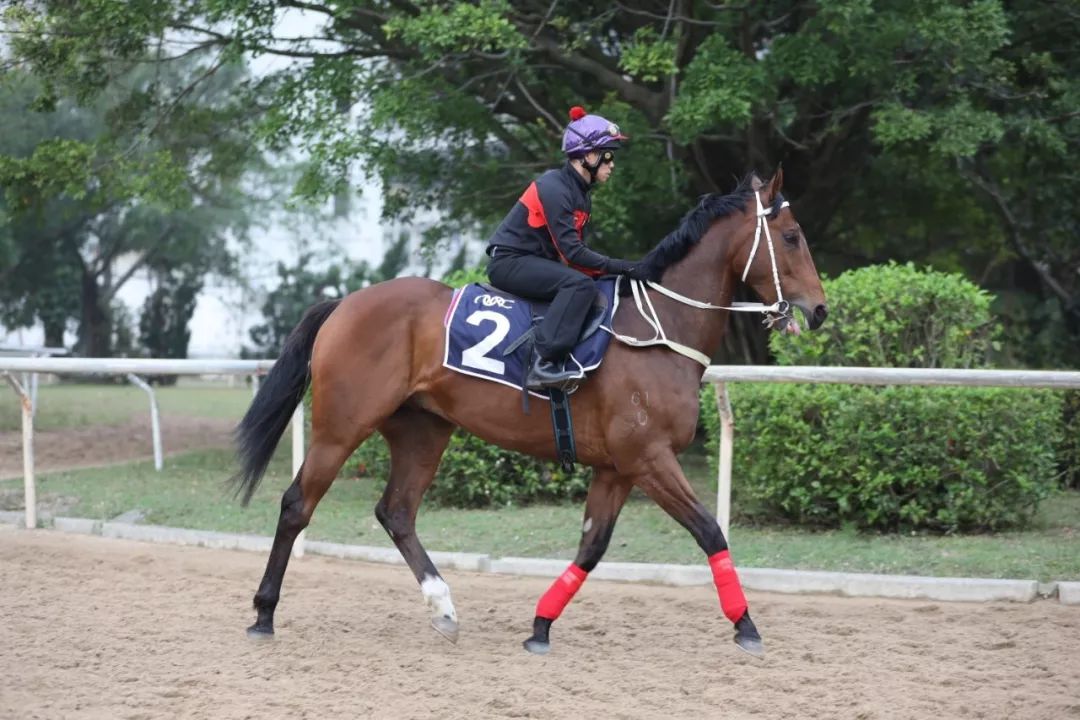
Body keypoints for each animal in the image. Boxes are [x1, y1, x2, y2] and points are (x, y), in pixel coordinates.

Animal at [232, 169, 827, 657]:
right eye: (792, 236)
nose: (819, 310)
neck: (659, 329)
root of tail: (344, 303)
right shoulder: (649, 457)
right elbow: (709, 531)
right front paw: (746, 624)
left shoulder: (617, 468)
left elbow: (592, 547)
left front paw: (540, 625)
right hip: (342, 426)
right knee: (297, 505)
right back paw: (263, 613)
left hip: (424, 431)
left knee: (396, 512)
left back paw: (443, 608)